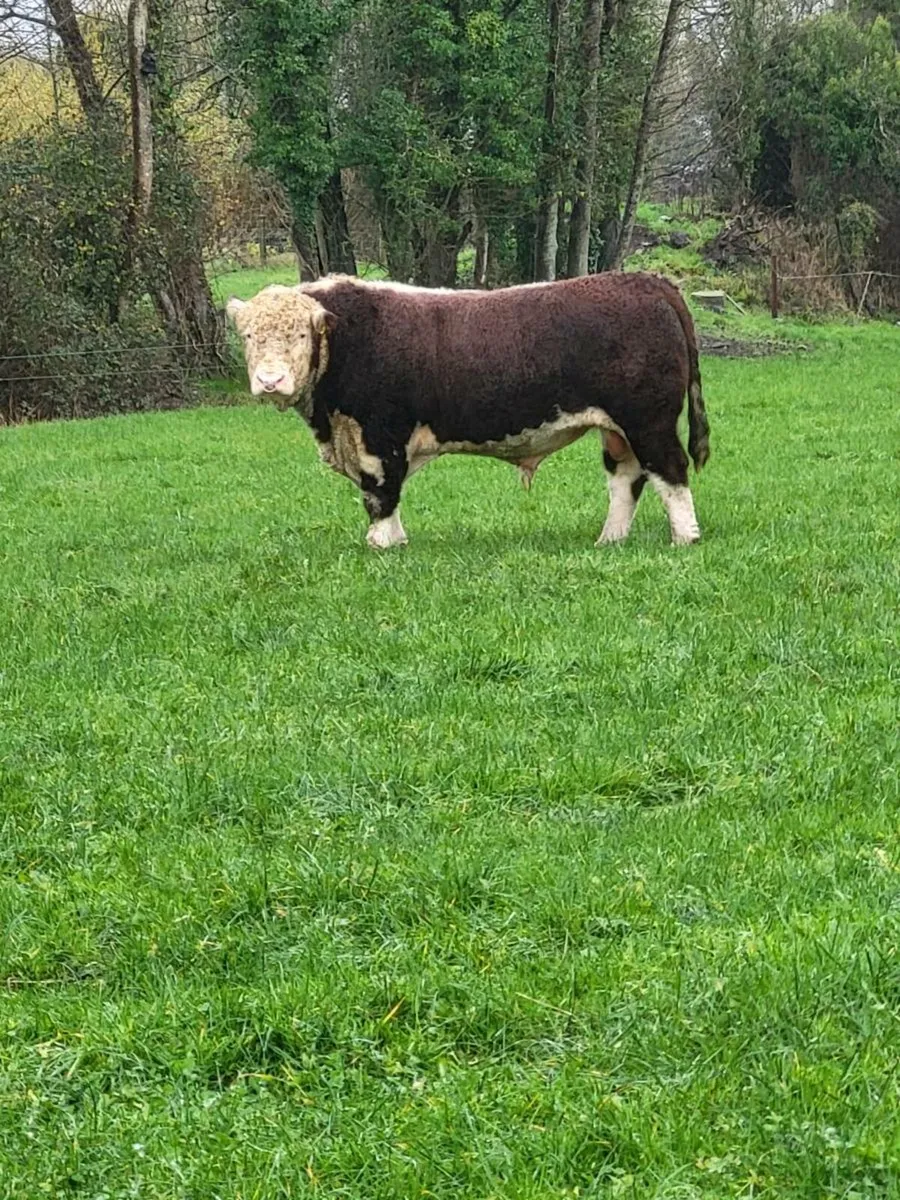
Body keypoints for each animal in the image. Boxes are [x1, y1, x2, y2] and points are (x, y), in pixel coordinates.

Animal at [226, 272, 710, 549]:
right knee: (626, 477)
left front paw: (381, 544)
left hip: (648, 420)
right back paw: (609, 540)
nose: (270, 381)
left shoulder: (378, 437)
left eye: (300, 336)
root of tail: (644, 280)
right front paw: (397, 541)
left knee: (669, 470)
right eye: (248, 337)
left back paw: (684, 539)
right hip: (619, 429)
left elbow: (380, 493)